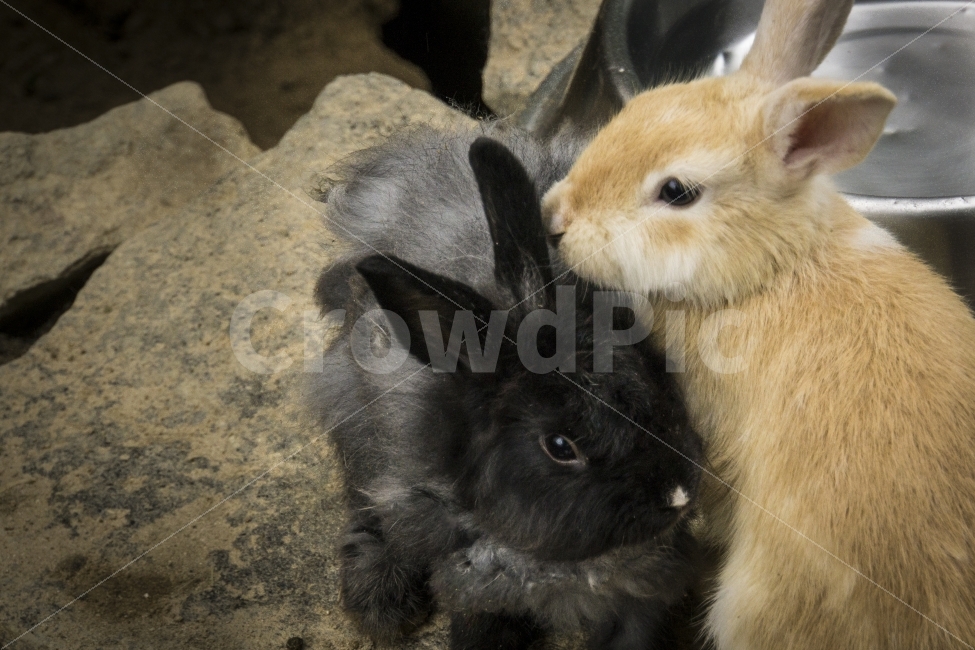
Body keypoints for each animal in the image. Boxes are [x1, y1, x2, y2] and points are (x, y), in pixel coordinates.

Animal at [309, 128, 706, 650]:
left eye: (645, 371)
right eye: (559, 446)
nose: (677, 496)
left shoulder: (648, 589)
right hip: (355, 421)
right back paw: (382, 604)